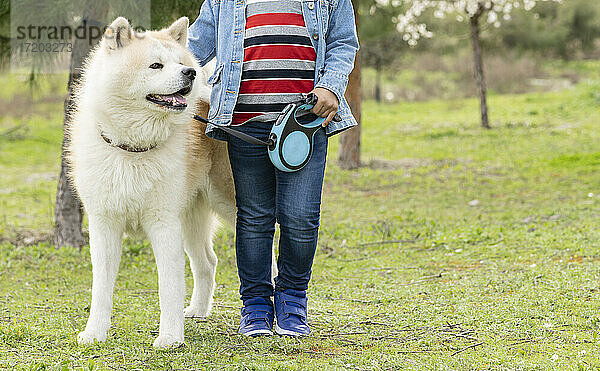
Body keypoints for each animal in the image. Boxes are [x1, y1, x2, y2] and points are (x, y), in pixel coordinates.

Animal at [69, 16, 238, 348]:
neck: (133, 148)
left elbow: (169, 286)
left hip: (230, 204)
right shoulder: (104, 225)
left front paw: (170, 338)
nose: (190, 73)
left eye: (180, 64)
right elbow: (101, 288)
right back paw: (198, 311)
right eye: (156, 65)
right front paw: (95, 332)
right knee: (207, 262)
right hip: (191, 218)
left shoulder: (164, 224)